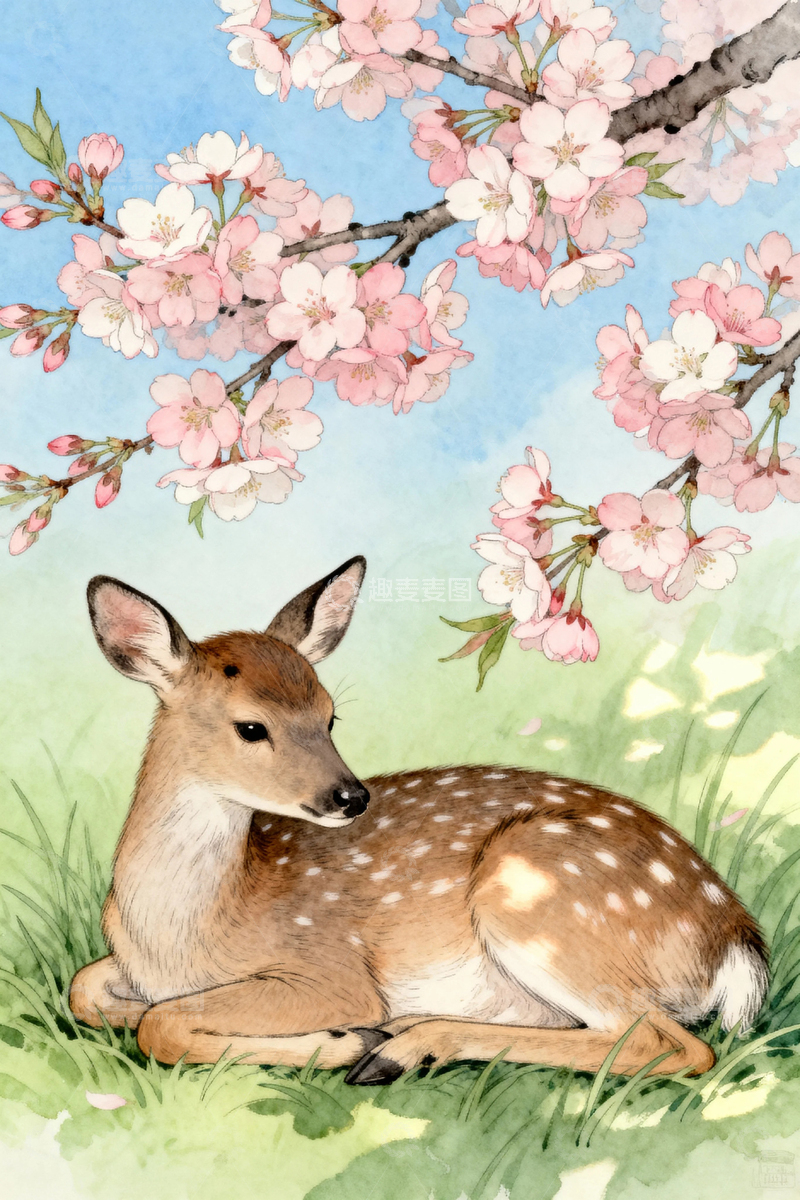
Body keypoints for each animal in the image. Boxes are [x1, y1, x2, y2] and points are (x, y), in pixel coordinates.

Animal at [69, 555, 768, 1084]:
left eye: (329, 715)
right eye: (250, 727)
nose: (350, 797)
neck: (181, 936)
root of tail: (737, 939)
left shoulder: (330, 970)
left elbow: (162, 1024)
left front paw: (339, 1041)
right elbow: (86, 989)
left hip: (536, 894)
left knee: (671, 1045)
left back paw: (397, 1049)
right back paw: (401, 1036)